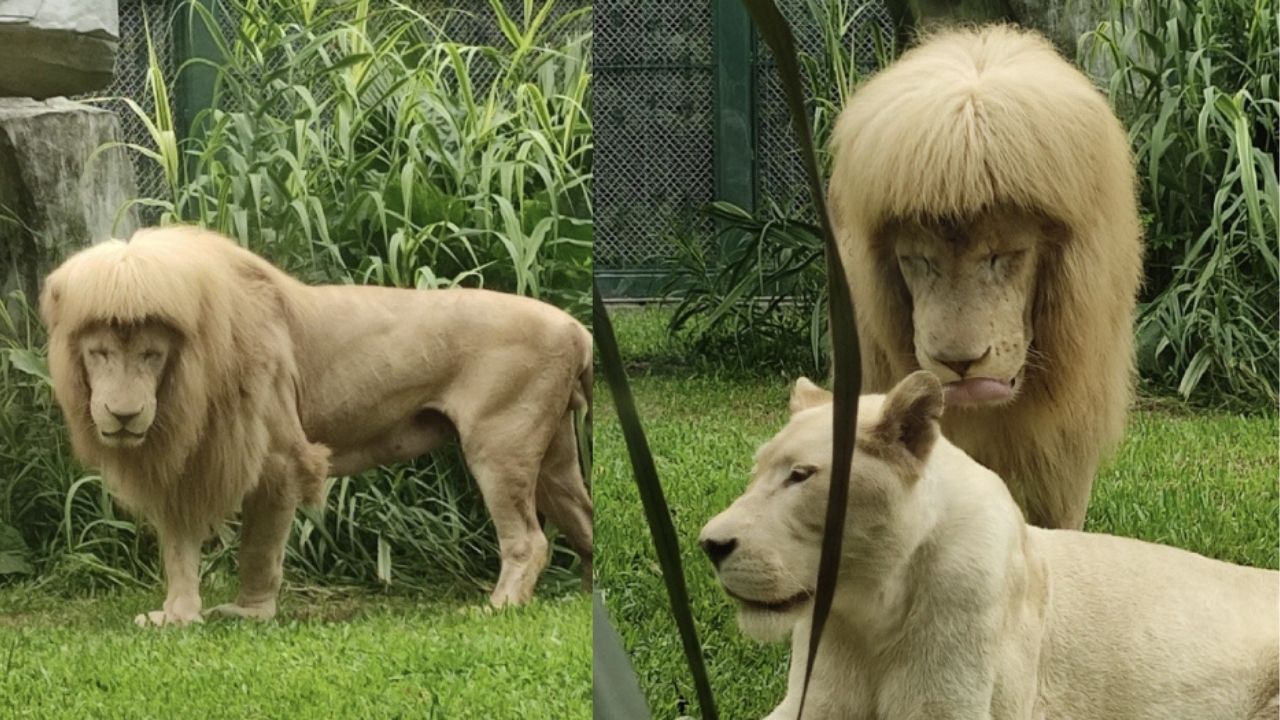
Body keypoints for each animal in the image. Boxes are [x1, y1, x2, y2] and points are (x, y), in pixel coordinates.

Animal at [41, 226, 593, 627]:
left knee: (529, 539)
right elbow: (179, 551)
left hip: (499, 446)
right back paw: (593, 595)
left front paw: (249, 613)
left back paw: (499, 606)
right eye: (100, 353)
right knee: (585, 519)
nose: (123, 414)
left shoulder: (280, 460)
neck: (186, 382)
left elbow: (258, 548)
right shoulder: (184, 465)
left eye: (152, 355)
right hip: (555, 459)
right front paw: (176, 617)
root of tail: (576, 328)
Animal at [700, 373, 1279, 720]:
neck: (869, 611)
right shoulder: (812, 701)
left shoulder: (953, 706)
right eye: (756, 471)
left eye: (800, 475)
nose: (710, 544)